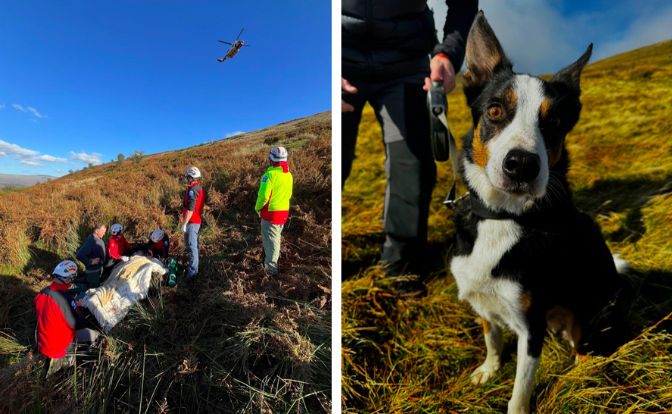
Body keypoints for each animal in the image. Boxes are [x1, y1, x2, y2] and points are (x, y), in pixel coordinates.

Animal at [452, 11, 632, 412]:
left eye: (554, 123)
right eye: (495, 110)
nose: (522, 165)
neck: (503, 217)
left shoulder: (530, 326)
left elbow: (520, 390)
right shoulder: (485, 303)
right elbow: (491, 339)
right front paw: (489, 370)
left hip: (592, 313)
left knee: (585, 349)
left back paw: (581, 378)